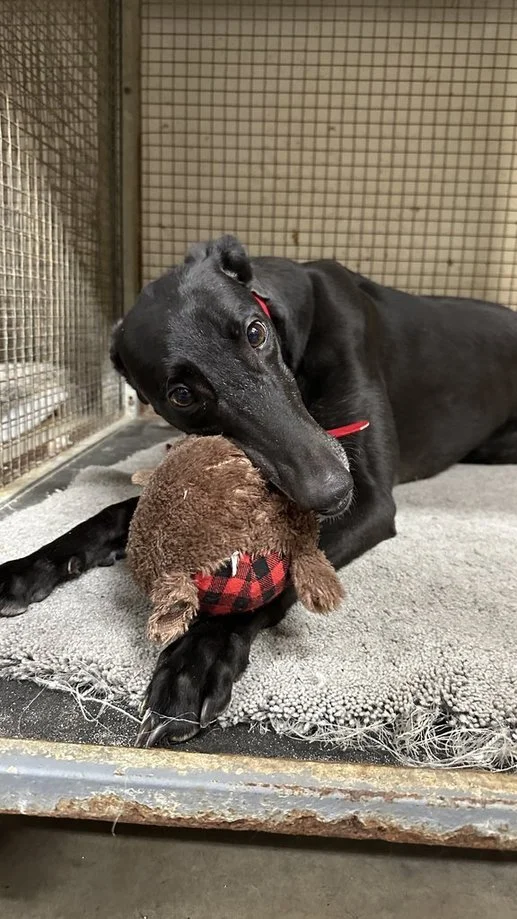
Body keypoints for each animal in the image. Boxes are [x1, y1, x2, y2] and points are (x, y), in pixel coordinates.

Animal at [1, 234, 517, 747]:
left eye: (255, 332)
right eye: (181, 395)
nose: (331, 492)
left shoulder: (370, 499)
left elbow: (277, 574)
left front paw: (197, 659)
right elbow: (116, 513)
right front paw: (29, 567)